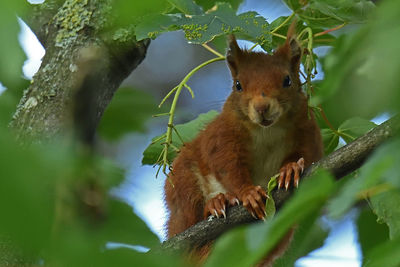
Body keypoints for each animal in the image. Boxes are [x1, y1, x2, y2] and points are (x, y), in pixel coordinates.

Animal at [164, 24, 324, 264]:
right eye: (238, 85)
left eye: (287, 80)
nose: (262, 107)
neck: (267, 130)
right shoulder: (222, 136)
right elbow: (227, 165)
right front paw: (247, 192)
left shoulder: (308, 130)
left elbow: (308, 154)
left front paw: (290, 169)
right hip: (183, 183)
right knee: (190, 211)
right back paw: (216, 204)